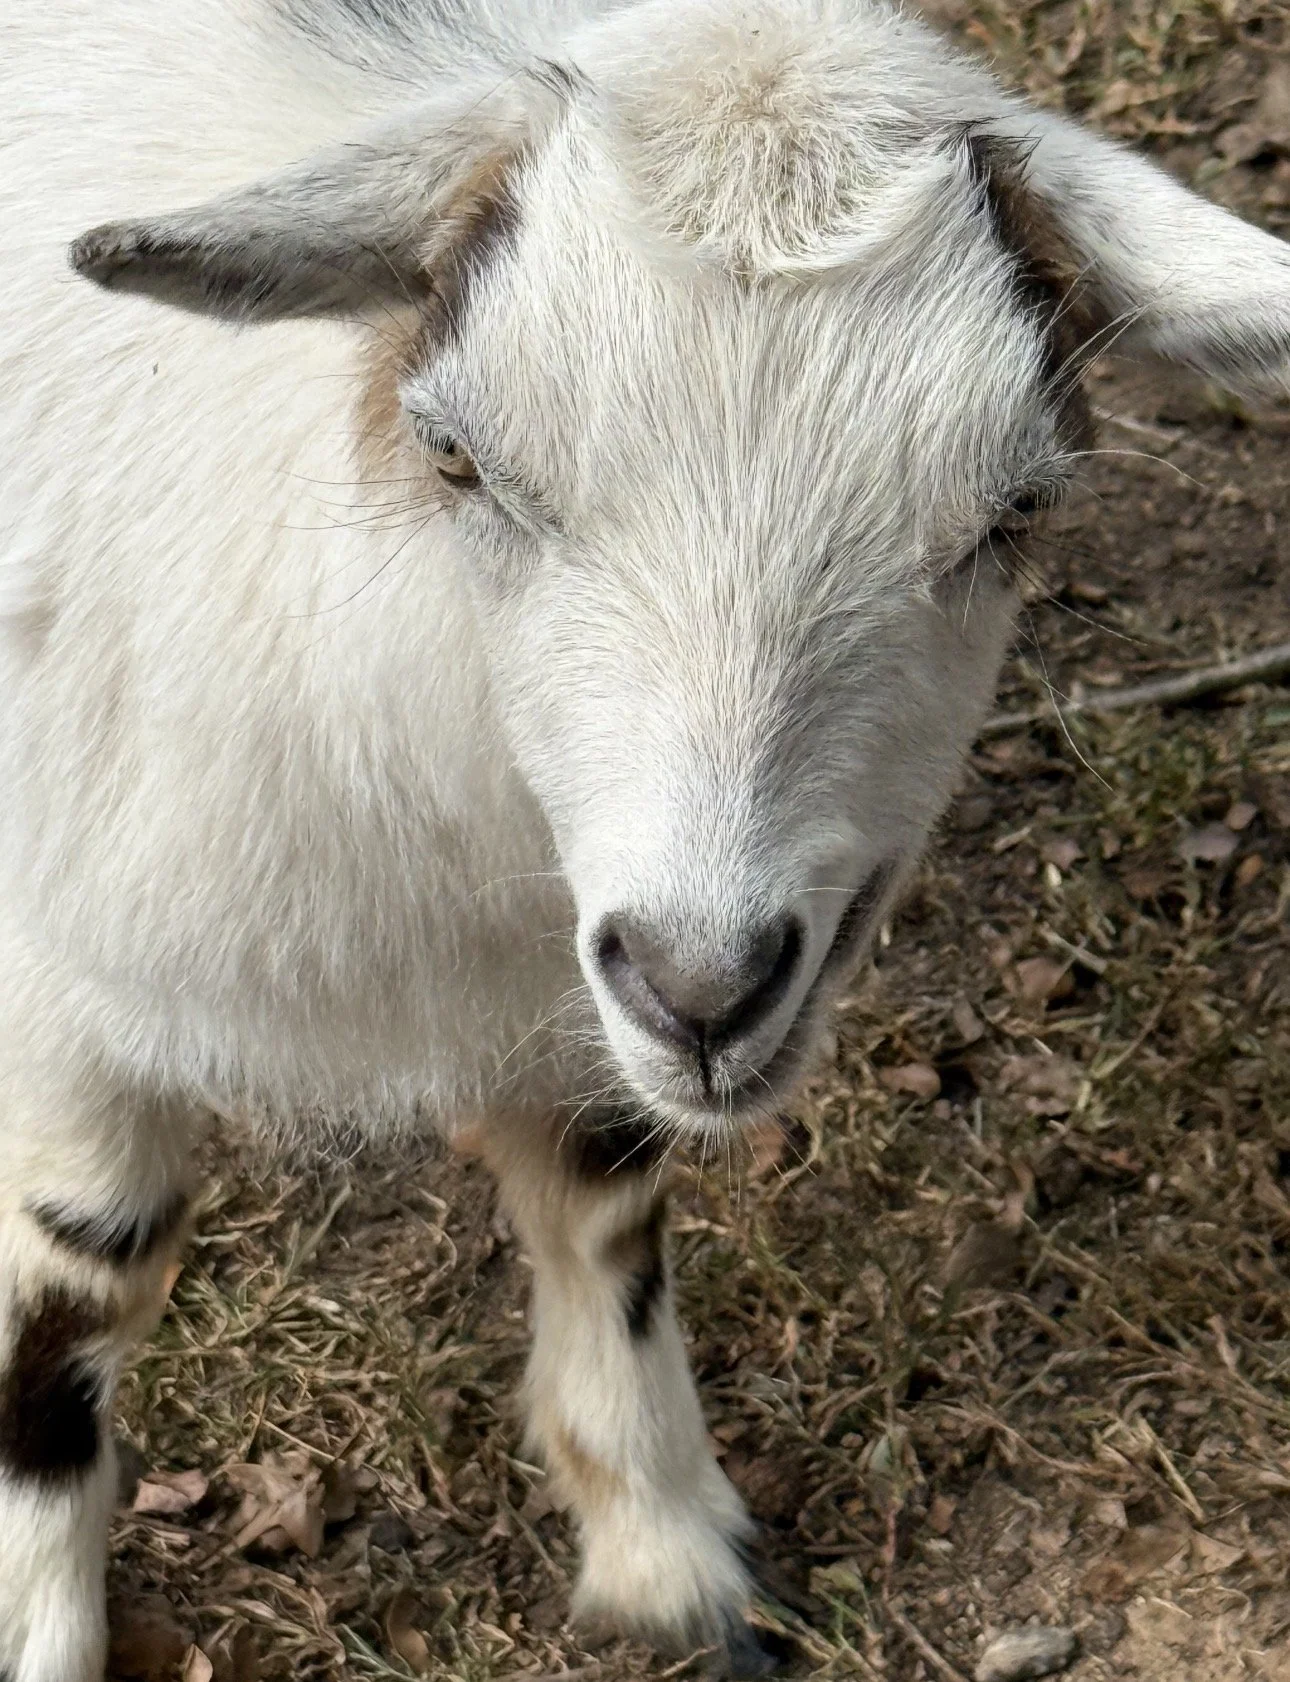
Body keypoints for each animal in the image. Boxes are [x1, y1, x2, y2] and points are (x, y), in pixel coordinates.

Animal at [2, 0, 1288, 1674]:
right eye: (459, 459)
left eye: (1016, 509)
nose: (706, 994)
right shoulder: (59, 960)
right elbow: (75, 1286)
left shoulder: (575, 974)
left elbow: (603, 1199)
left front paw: (662, 1544)